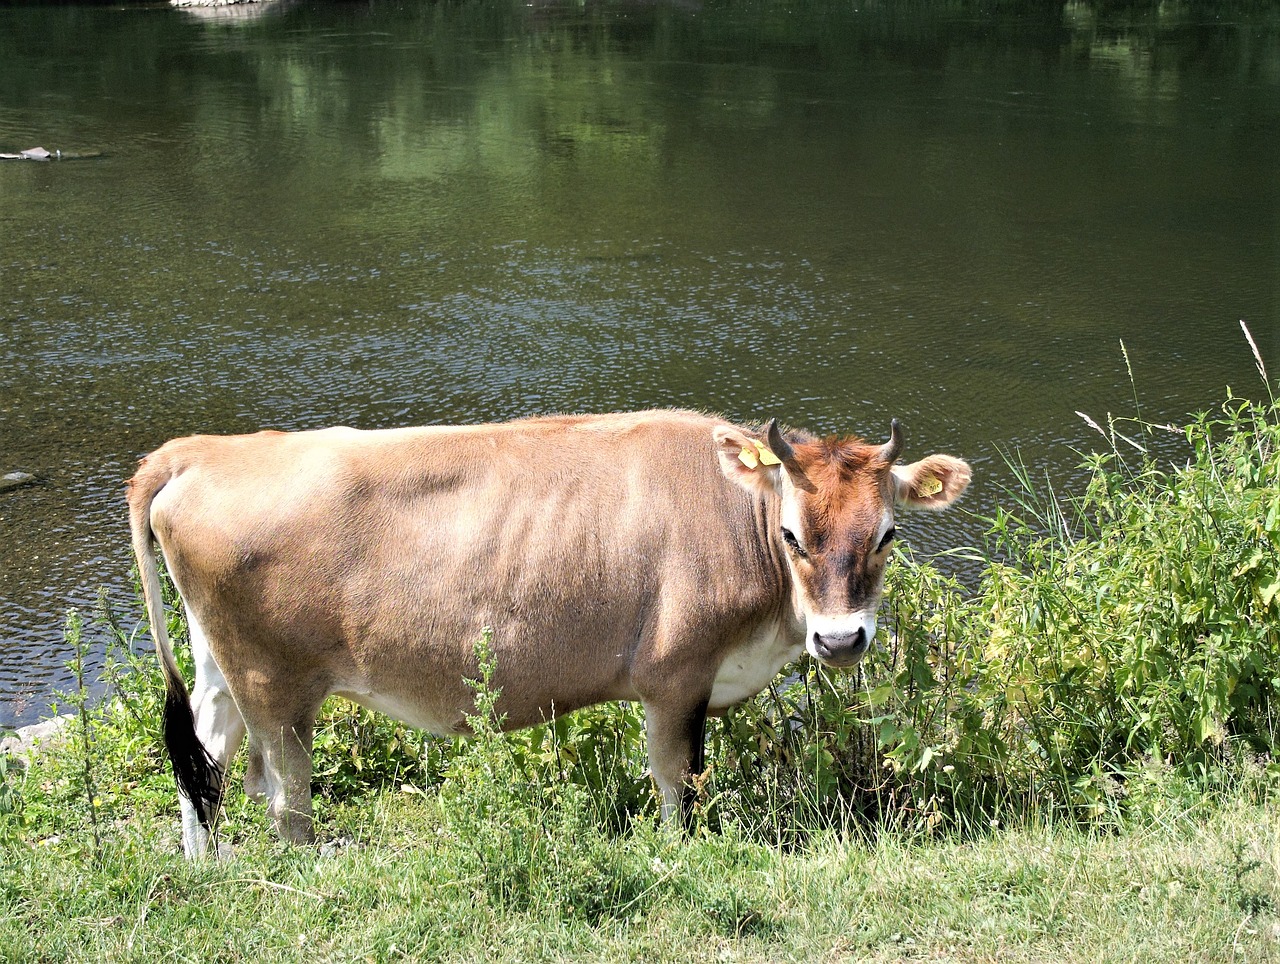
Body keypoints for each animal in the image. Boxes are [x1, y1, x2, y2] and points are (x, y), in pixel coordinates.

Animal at [129, 409, 967, 855]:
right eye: (793, 534)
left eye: (887, 534)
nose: (841, 641)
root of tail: (200, 450)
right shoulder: (676, 675)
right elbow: (679, 780)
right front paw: (679, 853)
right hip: (276, 685)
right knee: (282, 797)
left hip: (222, 668)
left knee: (203, 760)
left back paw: (206, 865)